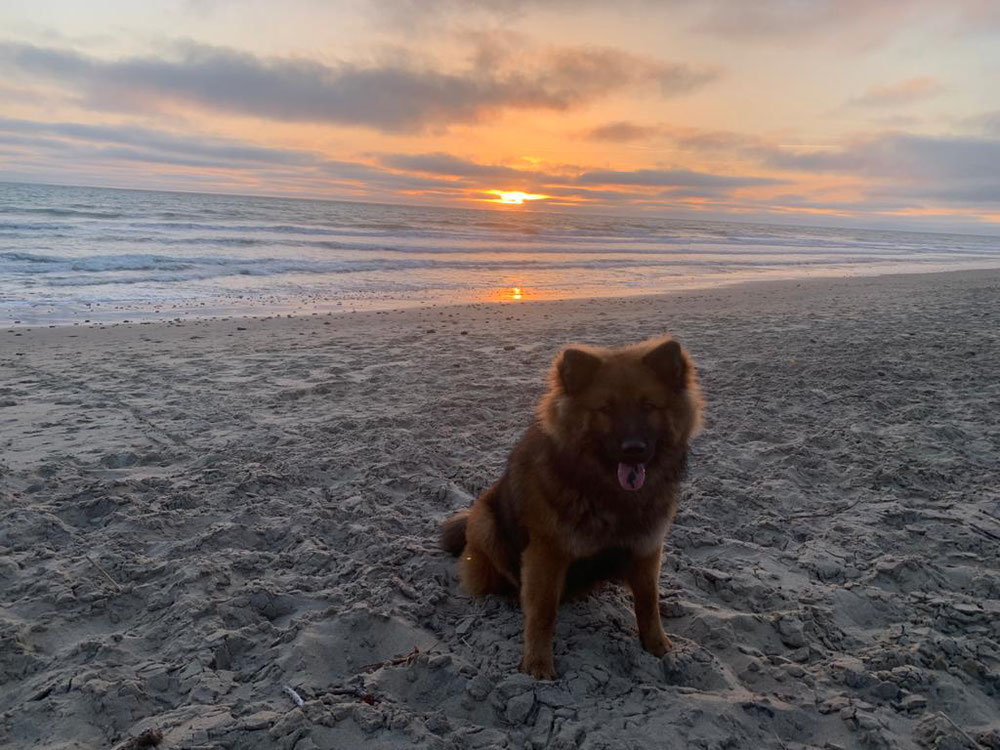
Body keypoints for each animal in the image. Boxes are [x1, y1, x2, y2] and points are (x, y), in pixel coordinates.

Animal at [438, 338, 704, 680]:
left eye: (648, 406)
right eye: (606, 409)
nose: (634, 449)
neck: (610, 496)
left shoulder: (646, 546)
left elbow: (648, 602)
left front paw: (658, 646)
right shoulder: (547, 553)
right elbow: (542, 611)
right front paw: (538, 664)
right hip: (484, 522)